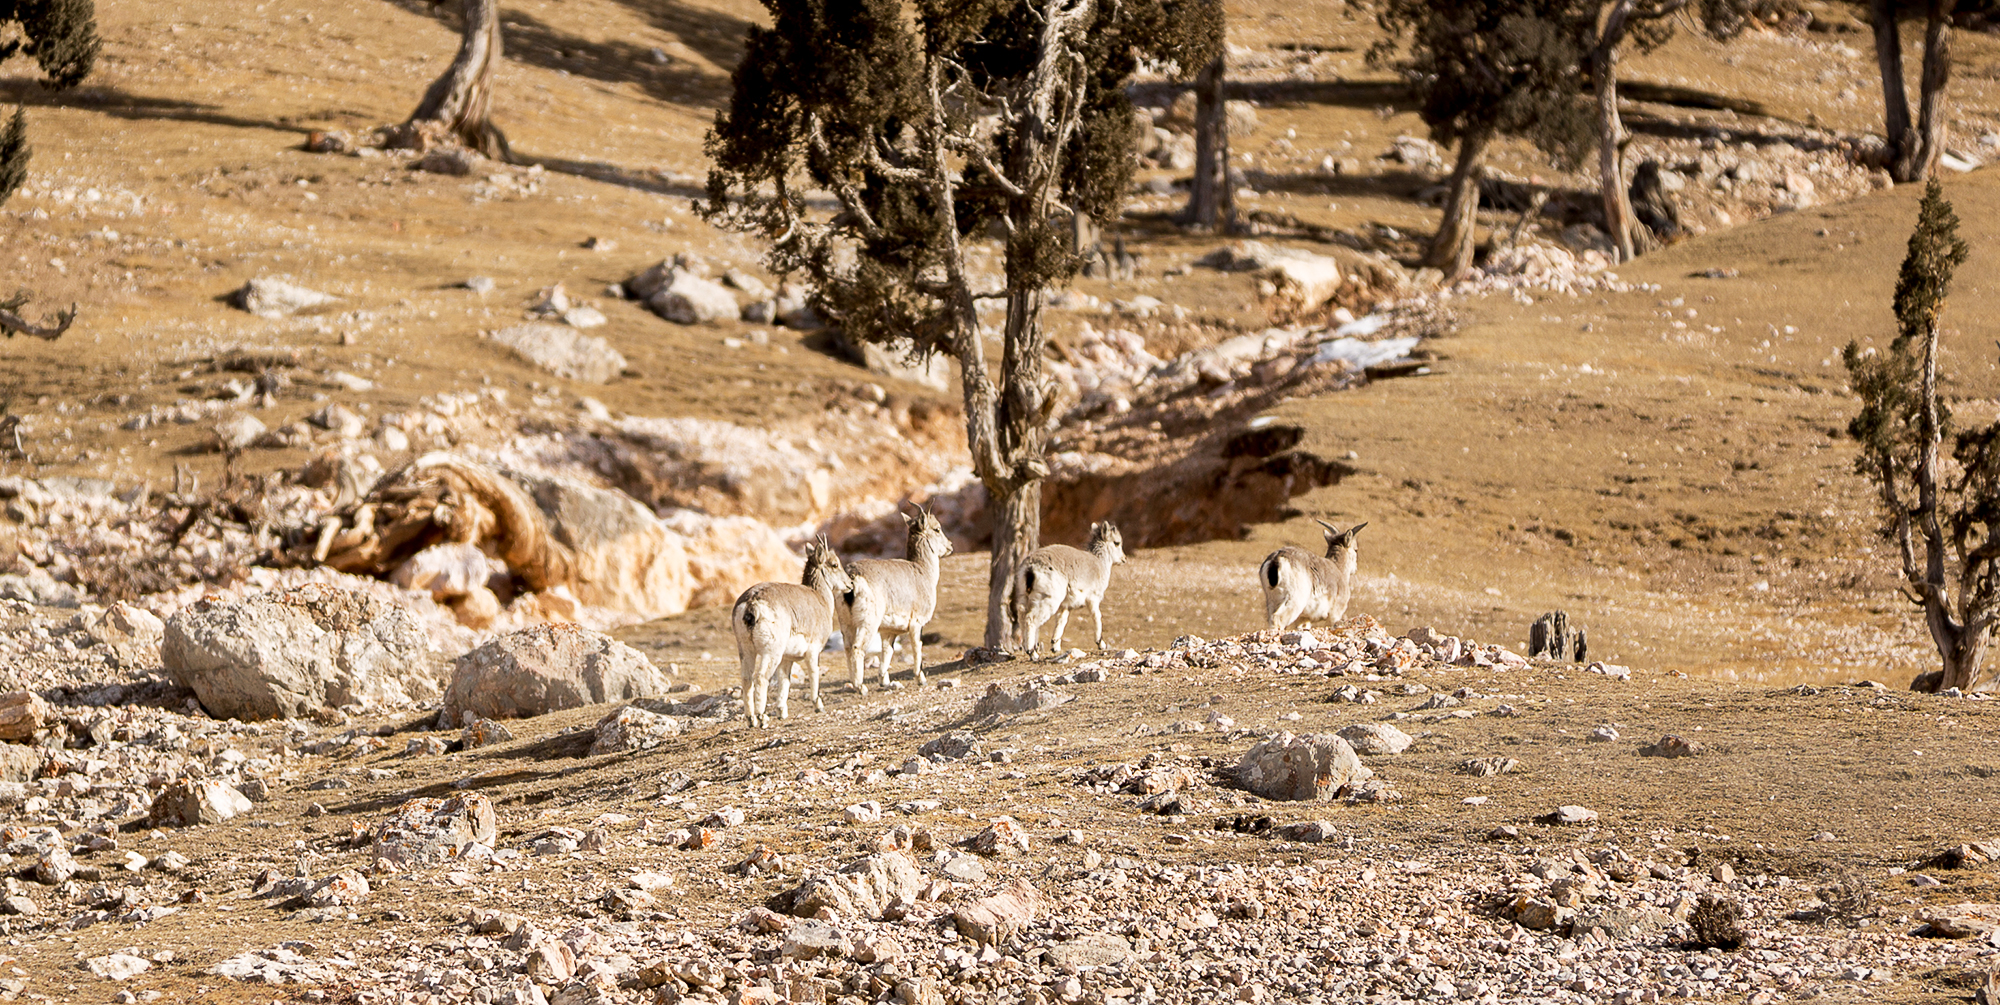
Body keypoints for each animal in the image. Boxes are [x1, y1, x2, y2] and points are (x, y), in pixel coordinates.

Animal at [740, 536, 856, 724]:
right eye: (834, 564)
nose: (850, 584)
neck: (820, 598)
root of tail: (752, 602)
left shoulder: (787, 659)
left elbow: (784, 681)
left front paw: (781, 712)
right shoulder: (813, 653)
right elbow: (814, 674)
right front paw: (818, 706)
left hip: (746, 652)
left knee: (746, 678)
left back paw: (752, 719)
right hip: (770, 654)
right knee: (761, 677)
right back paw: (762, 718)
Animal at [840, 510, 956, 692]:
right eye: (937, 529)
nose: (950, 546)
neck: (923, 572)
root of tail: (852, 577)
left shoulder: (889, 631)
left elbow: (887, 652)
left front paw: (885, 682)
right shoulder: (916, 624)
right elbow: (917, 648)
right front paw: (921, 679)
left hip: (846, 623)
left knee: (847, 648)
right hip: (868, 623)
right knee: (857, 648)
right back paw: (861, 688)